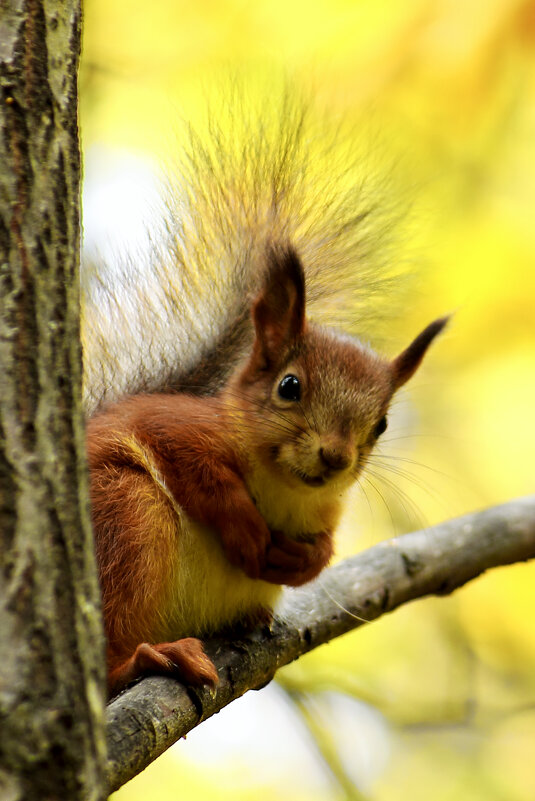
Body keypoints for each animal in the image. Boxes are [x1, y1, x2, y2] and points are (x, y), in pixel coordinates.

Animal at [84, 101, 448, 700]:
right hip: (125, 514)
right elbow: (196, 466)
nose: (335, 457)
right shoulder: (175, 422)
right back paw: (145, 658)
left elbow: (322, 550)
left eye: (381, 425)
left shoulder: (327, 510)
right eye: (289, 387)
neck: (285, 486)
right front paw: (246, 527)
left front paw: (303, 560)